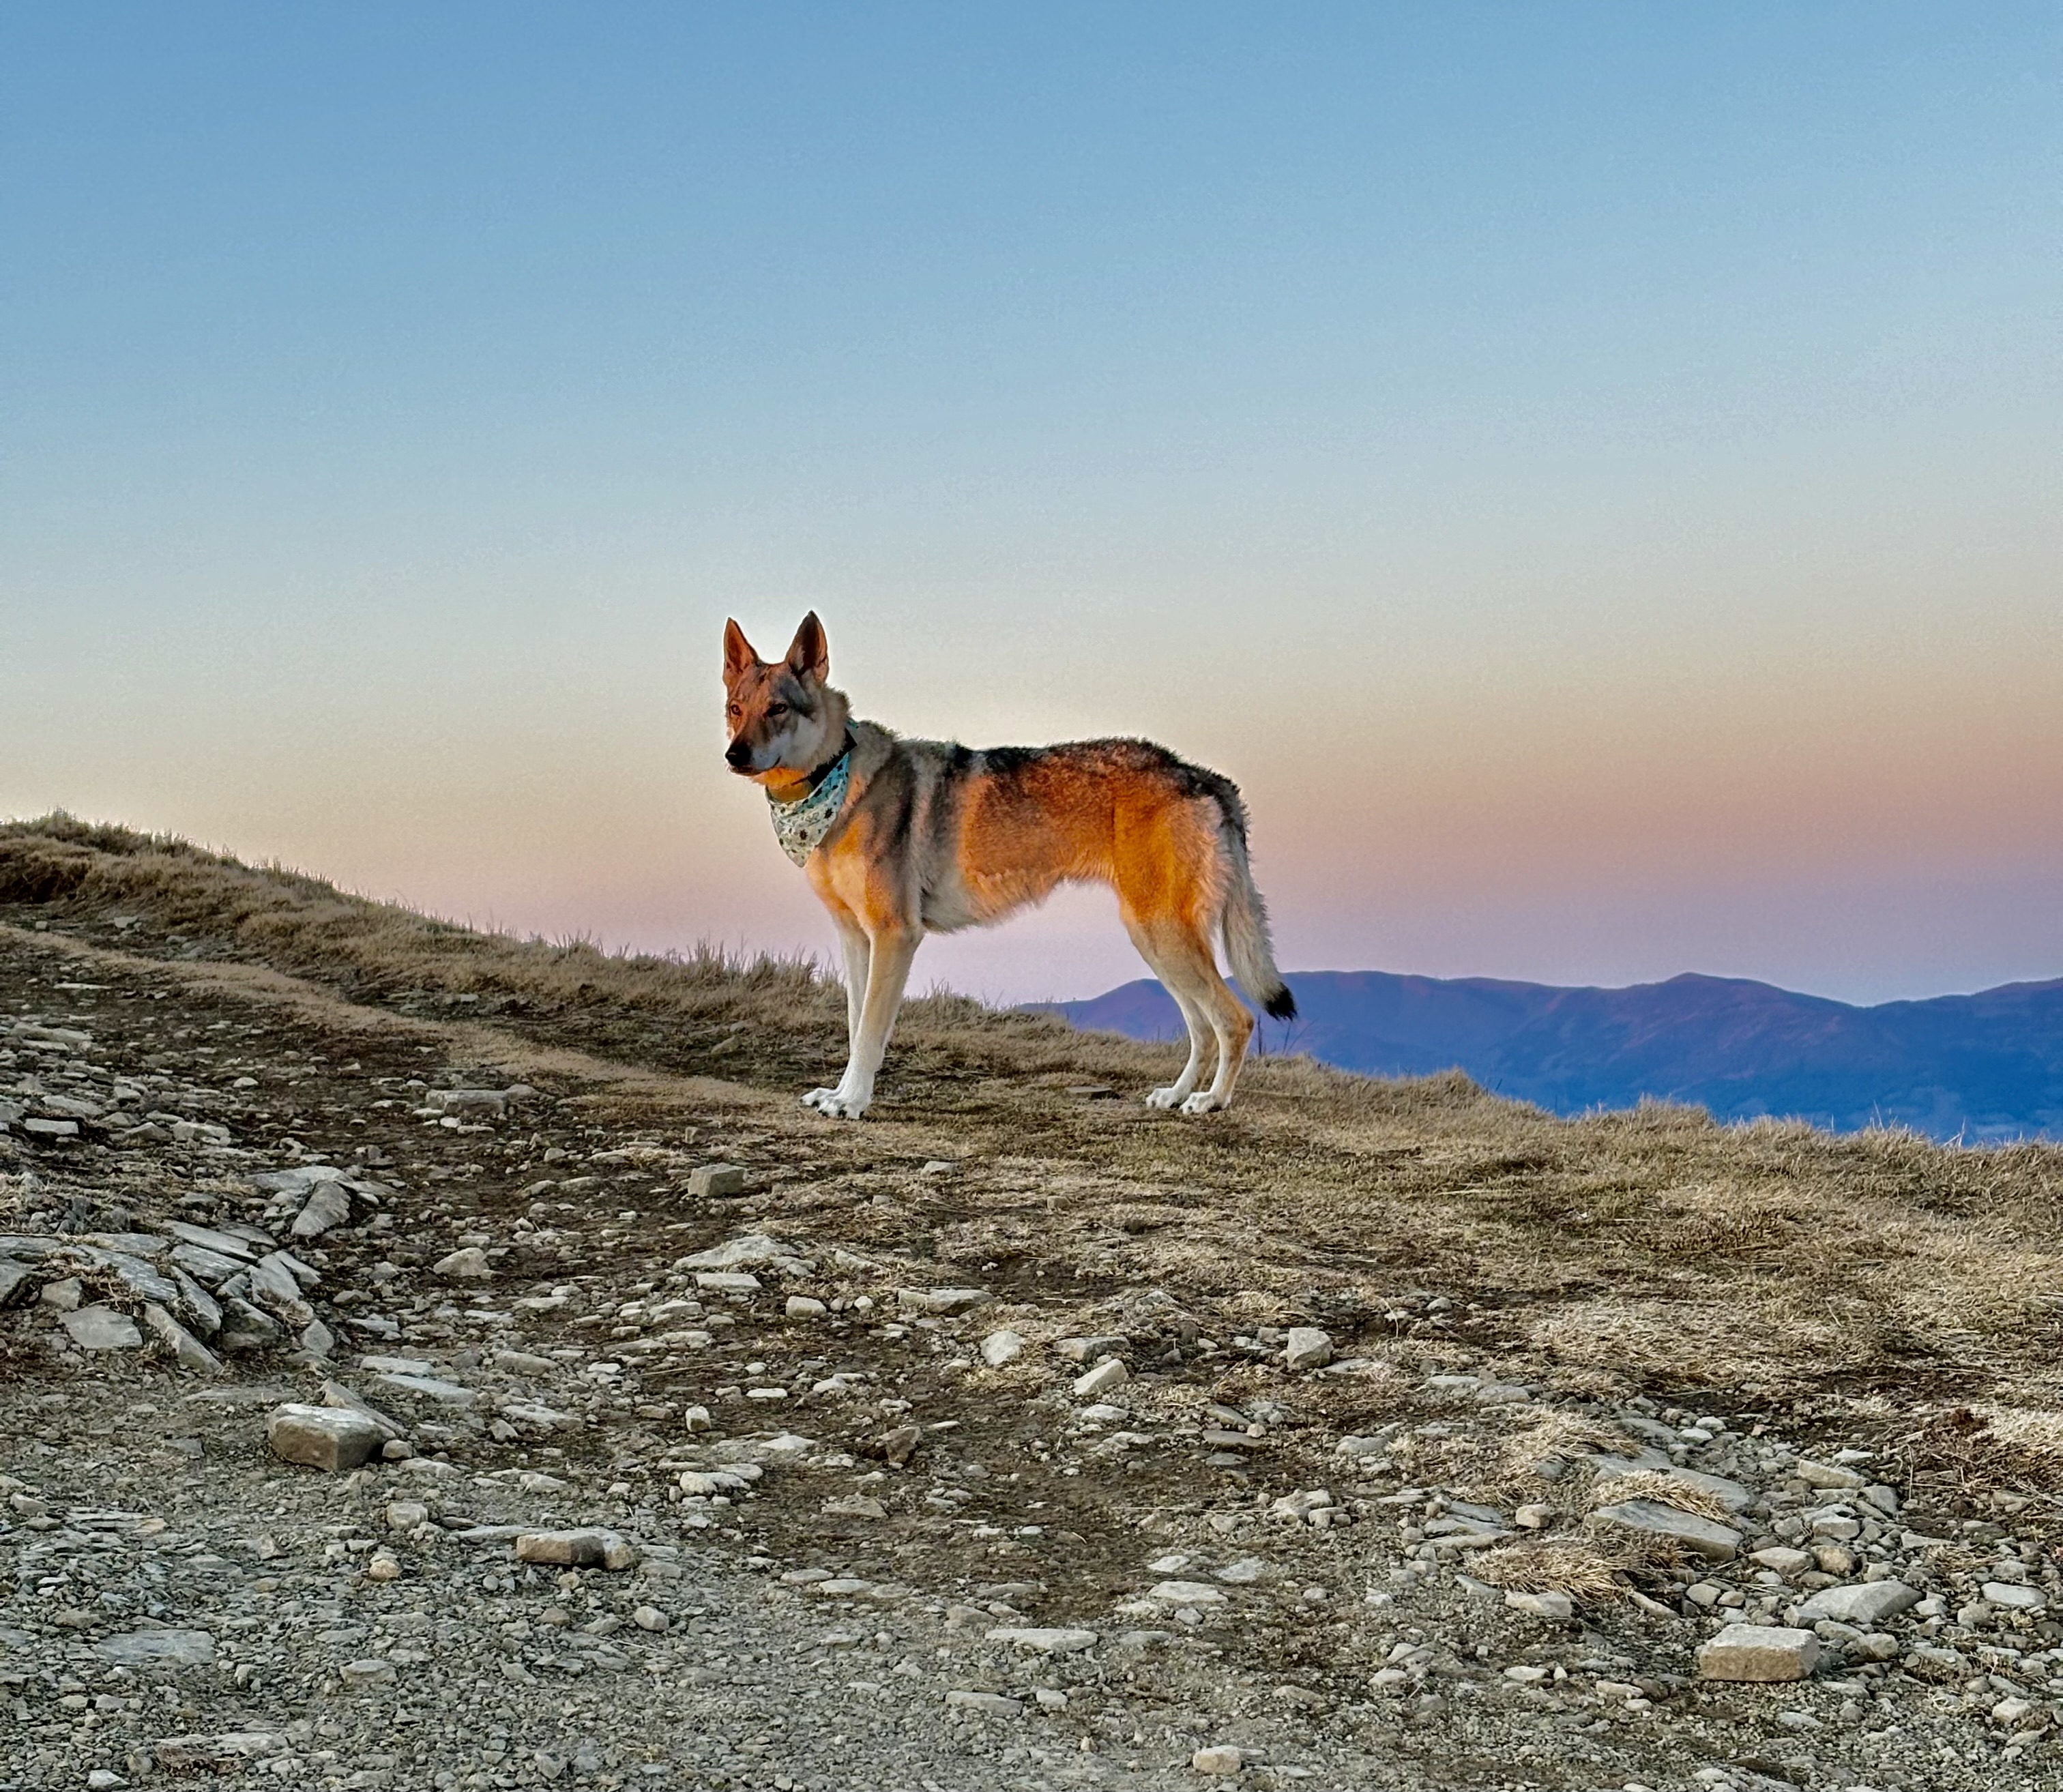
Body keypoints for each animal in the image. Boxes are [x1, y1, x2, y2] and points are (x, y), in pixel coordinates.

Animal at [723, 611, 1295, 1120]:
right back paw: (1176, 1095)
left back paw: (1210, 1101)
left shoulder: (895, 935)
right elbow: (854, 1024)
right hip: (1152, 939)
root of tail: (1203, 775)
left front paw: (852, 1103)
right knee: (1202, 1027)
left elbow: (869, 1034)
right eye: (735, 708)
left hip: (1164, 936)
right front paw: (841, 1093)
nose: (735, 755)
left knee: (1236, 1019)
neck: (833, 783)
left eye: (778, 709)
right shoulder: (855, 937)